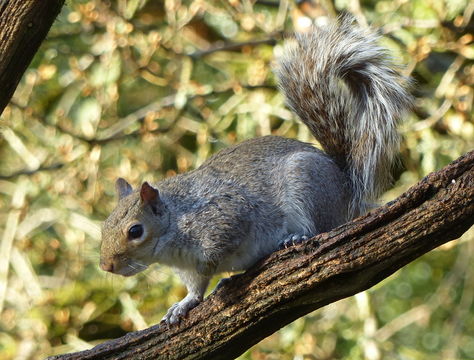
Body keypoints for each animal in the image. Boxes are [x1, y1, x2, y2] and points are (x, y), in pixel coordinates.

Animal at [99, 16, 412, 324]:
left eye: (135, 230)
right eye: (104, 226)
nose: (106, 266)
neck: (173, 224)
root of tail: (346, 189)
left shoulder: (223, 221)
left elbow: (211, 261)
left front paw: (213, 281)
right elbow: (194, 288)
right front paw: (184, 303)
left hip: (306, 184)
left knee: (320, 226)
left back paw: (295, 237)